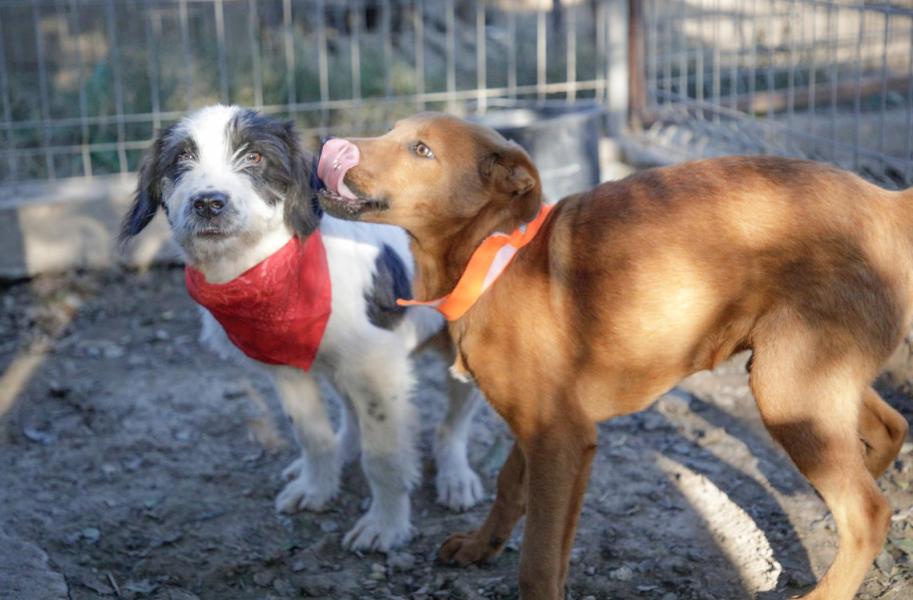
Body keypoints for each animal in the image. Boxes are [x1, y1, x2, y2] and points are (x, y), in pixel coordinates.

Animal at [119, 105, 486, 552]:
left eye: (255, 157)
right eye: (182, 158)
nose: (208, 203)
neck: (267, 266)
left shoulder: (378, 368)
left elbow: (383, 457)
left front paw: (385, 525)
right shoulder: (288, 366)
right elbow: (312, 434)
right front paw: (316, 488)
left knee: (452, 426)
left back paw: (457, 479)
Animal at [315, 112, 911, 598]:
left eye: (421, 150)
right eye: (391, 131)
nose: (328, 144)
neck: (493, 256)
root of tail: (884, 201)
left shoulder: (560, 439)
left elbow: (538, 562)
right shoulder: (543, 427)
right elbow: (509, 488)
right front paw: (481, 547)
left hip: (788, 387)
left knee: (868, 513)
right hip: (805, 375)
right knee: (889, 429)